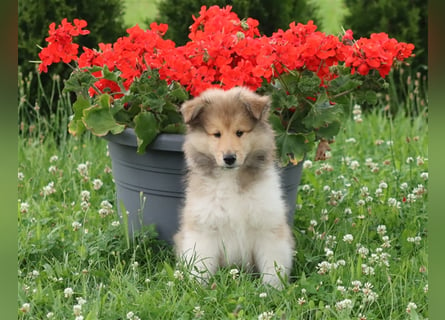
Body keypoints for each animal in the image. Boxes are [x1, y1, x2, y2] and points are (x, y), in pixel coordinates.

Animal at [173, 86, 294, 288]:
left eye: (239, 132)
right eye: (217, 134)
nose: (229, 158)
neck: (230, 178)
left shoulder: (268, 229)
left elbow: (272, 266)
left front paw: (272, 290)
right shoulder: (204, 230)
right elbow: (201, 267)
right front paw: (197, 289)